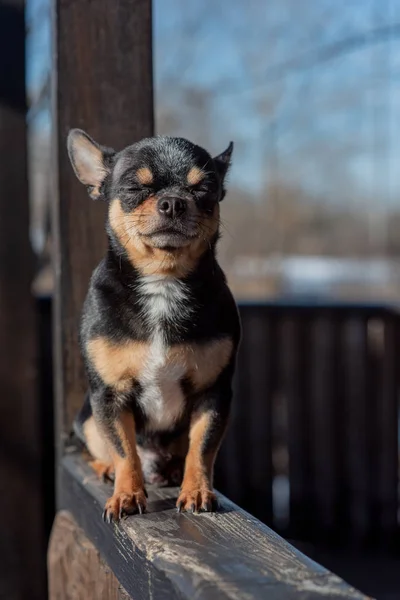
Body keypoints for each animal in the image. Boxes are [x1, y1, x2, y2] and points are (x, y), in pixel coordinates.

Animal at [68, 130, 241, 520]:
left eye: (204, 189)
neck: (163, 281)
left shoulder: (213, 394)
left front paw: (197, 490)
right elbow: (124, 449)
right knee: (101, 447)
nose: (173, 202)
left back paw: (175, 471)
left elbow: (202, 448)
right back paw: (107, 470)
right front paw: (127, 494)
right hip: (87, 416)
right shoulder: (110, 397)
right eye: (135, 188)